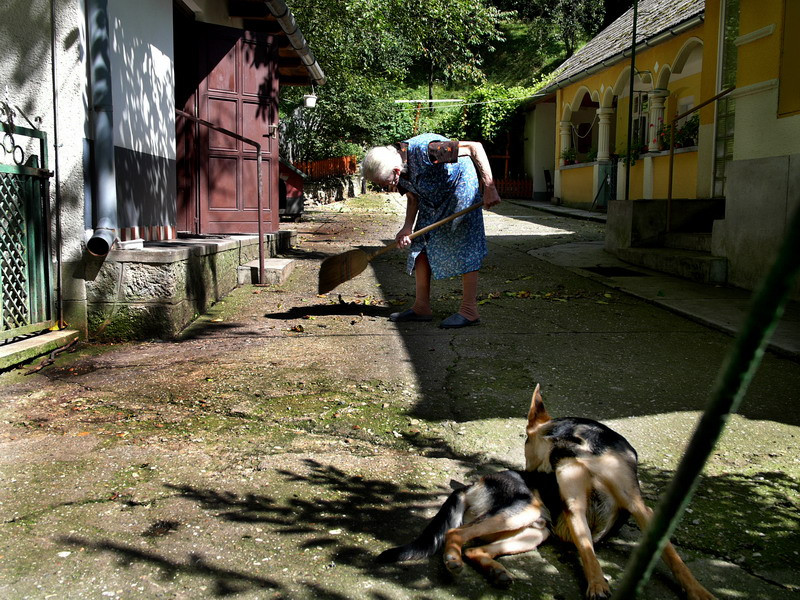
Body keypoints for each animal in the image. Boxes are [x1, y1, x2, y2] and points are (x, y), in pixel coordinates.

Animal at [378, 384, 716, 600]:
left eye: (525, 445)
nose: (529, 476)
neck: (576, 444)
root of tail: (471, 485)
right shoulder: (574, 505)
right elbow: (587, 550)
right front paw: (597, 586)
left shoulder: (637, 505)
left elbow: (673, 557)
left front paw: (699, 591)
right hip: (523, 511)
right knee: (455, 534)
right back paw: (453, 560)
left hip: (535, 529)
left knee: (475, 548)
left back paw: (496, 572)